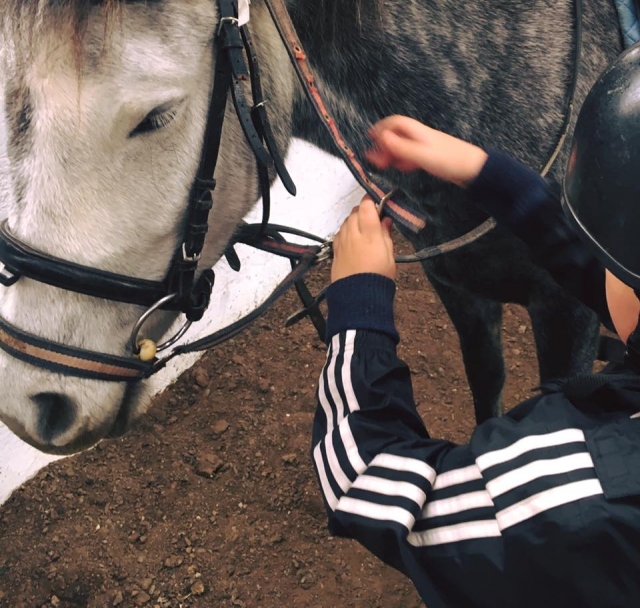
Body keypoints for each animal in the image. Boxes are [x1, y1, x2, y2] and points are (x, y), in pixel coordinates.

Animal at [0, 0, 622, 454]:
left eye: (157, 117)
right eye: (17, 108)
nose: (32, 402)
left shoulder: (569, 311)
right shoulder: (459, 286)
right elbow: (487, 380)